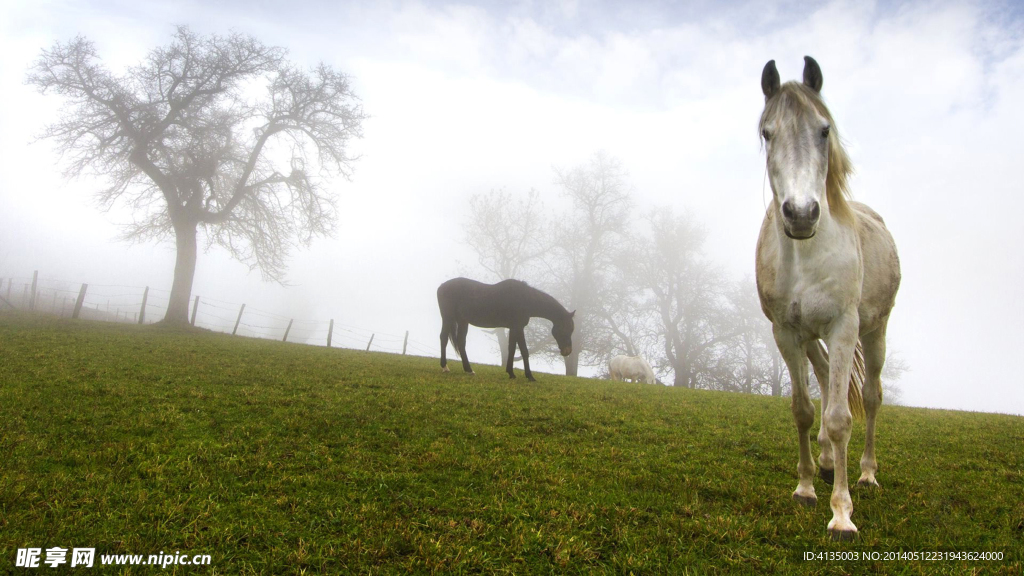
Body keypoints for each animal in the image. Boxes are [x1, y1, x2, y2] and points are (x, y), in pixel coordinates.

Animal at [436, 278, 573, 381]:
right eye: (567, 328)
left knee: (461, 342)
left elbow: (511, 349)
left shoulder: (513, 328)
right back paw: (445, 367)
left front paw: (511, 373)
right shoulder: (518, 327)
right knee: (443, 338)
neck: (525, 298)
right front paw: (530, 376)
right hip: (448, 318)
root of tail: (442, 286)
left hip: (463, 321)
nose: (568, 351)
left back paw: (469, 370)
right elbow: (524, 351)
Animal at [757, 56, 901, 537]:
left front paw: (841, 512)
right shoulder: (786, 332)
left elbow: (840, 418)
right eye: (767, 133)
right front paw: (804, 488)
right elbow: (803, 409)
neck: (805, 252)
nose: (801, 214)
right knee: (822, 378)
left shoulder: (842, 328)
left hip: (874, 333)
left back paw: (866, 473)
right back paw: (823, 463)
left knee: (871, 397)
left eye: (824, 130)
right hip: (810, 337)